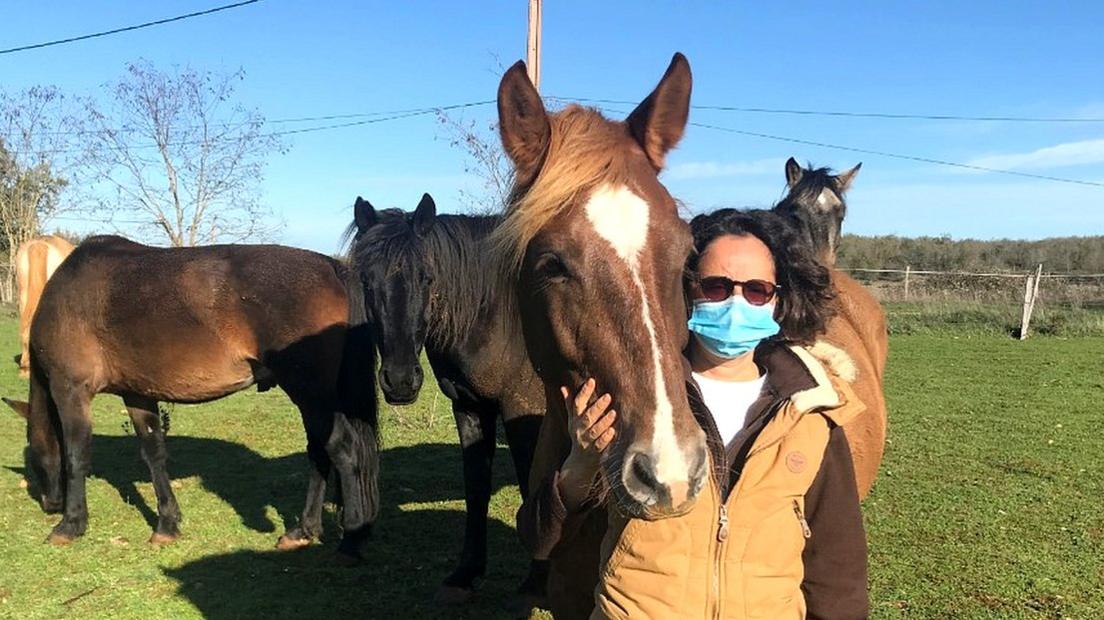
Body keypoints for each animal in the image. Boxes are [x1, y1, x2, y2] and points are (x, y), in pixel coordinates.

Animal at [348, 193, 547, 604]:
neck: (497, 311)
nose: (400, 381)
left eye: (427, 277)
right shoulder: (470, 407)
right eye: (366, 281)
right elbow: (476, 489)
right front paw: (466, 574)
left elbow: (530, 486)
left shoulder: (523, 409)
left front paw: (537, 585)